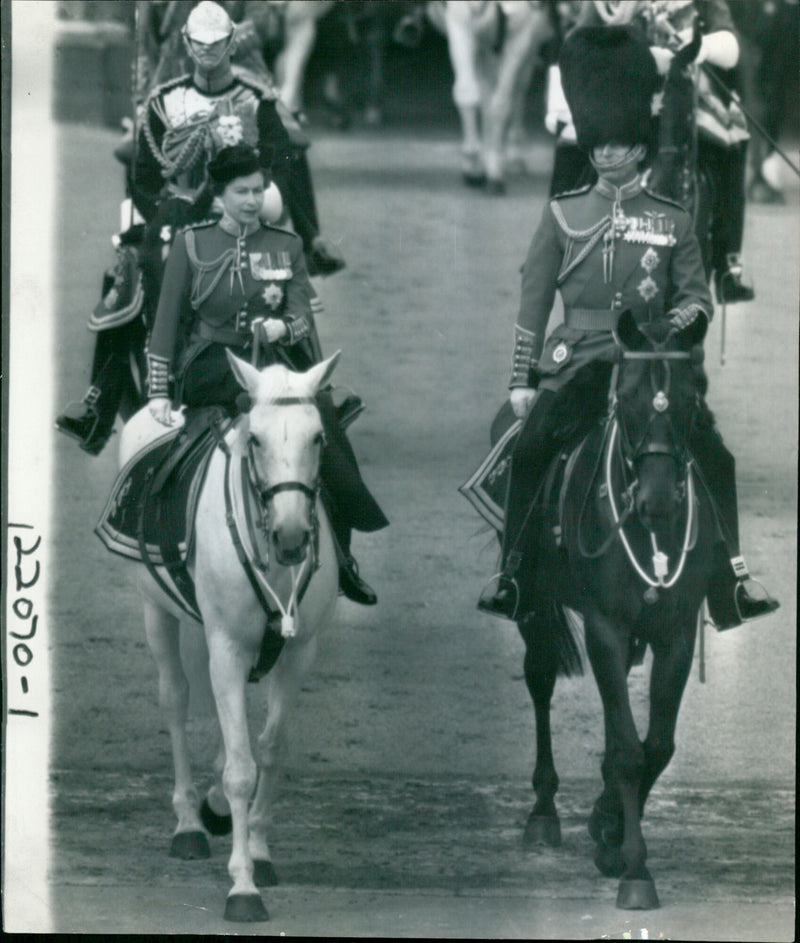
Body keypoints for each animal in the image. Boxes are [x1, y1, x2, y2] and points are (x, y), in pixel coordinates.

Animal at [120, 350, 340, 920]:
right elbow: (242, 767)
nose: (291, 537)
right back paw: (189, 824)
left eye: (318, 437)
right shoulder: (228, 646)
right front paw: (242, 886)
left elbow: (270, 748)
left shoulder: (299, 652)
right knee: (175, 700)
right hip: (156, 612)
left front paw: (259, 853)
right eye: (256, 439)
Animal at [428, 0, 552, 194]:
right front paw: (473, 165)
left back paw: (512, 155)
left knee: (517, 90)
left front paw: (494, 171)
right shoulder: (461, 23)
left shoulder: (519, 37)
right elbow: (467, 94)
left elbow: (501, 105)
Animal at [520, 314, 716, 912]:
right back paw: (544, 810)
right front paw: (631, 866)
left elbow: (656, 744)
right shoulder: (606, 626)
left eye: (689, 399)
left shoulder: (675, 632)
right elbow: (631, 749)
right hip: (535, 607)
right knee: (540, 679)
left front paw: (608, 827)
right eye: (627, 398)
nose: (658, 501)